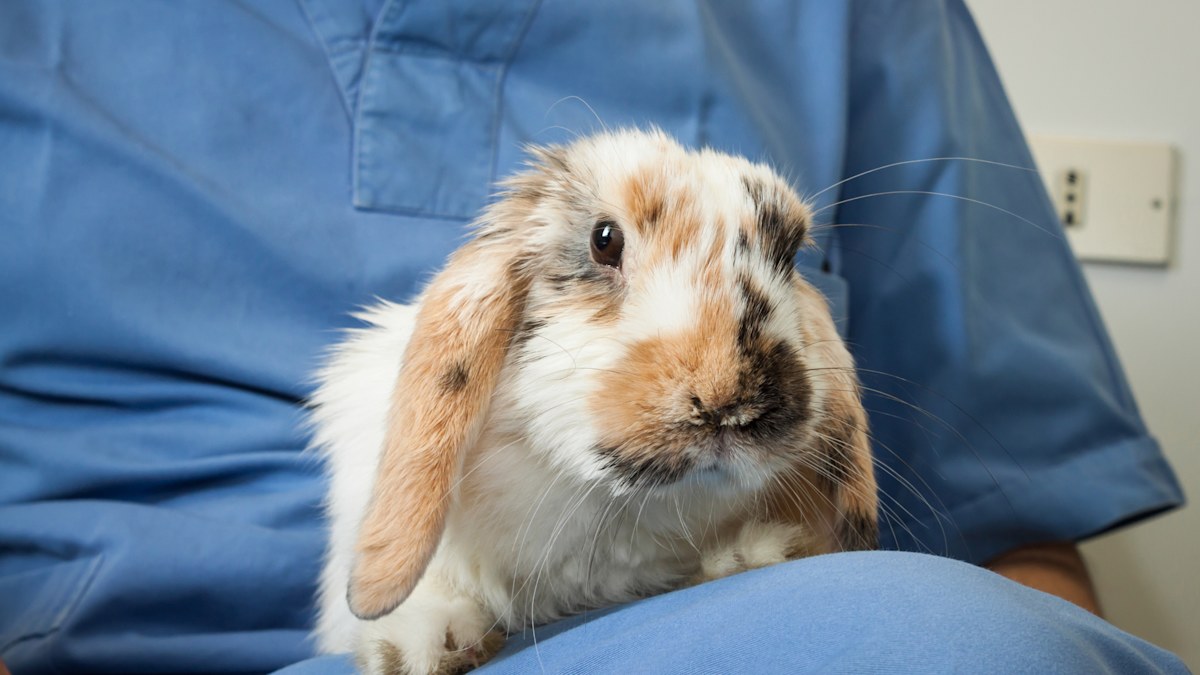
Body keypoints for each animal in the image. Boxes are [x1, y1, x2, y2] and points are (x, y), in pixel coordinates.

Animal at [309, 129, 879, 674]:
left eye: (789, 254)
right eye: (604, 240)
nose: (730, 400)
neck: (608, 504)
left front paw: (758, 552)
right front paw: (426, 646)